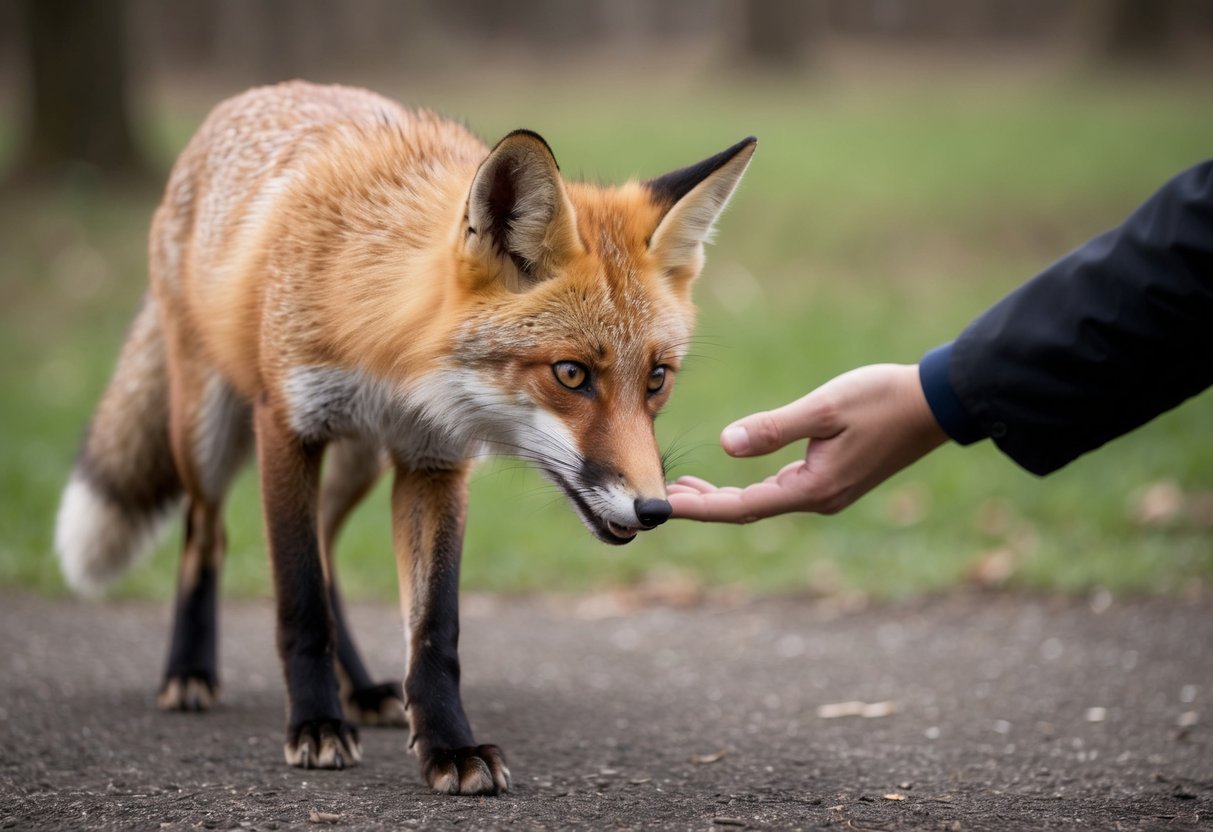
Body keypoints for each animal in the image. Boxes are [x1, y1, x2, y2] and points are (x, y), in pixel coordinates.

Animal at [54, 81, 754, 795]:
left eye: (657, 379)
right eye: (571, 374)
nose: (655, 508)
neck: (393, 359)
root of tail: (247, 99)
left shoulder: (433, 461)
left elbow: (434, 628)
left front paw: (449, 744)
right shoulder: (288, 429)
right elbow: (299, 601)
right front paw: (315, 724)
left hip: (358, 460)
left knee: (325, 549)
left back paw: (361, 689)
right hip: (208, 429)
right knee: (208, 533)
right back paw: (192, 671)